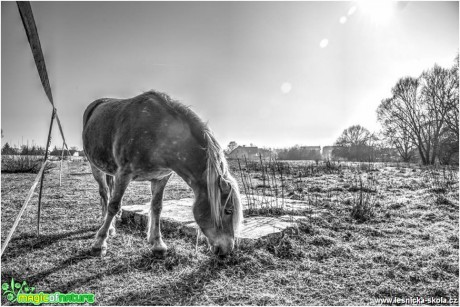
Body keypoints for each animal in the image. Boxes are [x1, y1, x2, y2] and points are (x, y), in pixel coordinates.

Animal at [84, 91, 246, 258]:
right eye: (228, 210)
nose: (228, 249)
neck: (159, 132)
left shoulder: (161, 177)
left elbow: (157, 207)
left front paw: (157, 244)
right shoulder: (124, 174)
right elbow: (114, 205)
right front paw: (99, 244)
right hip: (95, 167)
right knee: (105, 194)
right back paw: (107, 228)